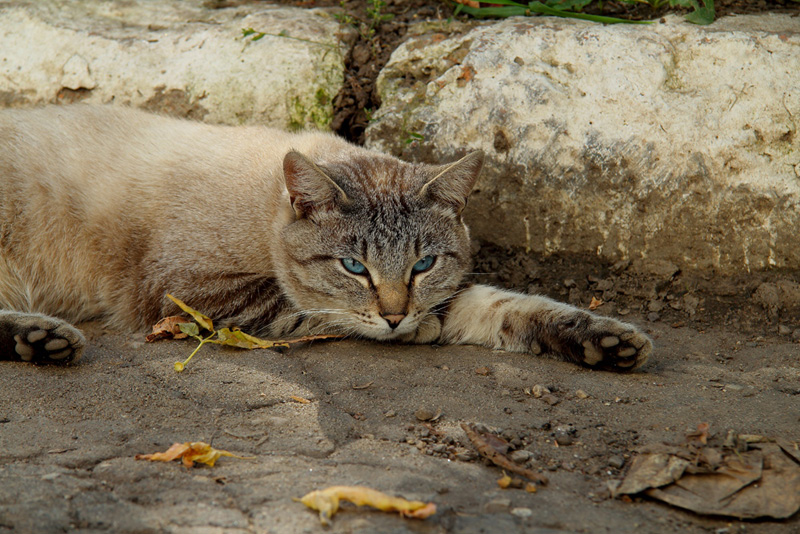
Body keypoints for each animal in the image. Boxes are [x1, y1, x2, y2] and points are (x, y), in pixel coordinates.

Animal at [0, 104, 648, 372]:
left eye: (423, 264)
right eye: (354, 268)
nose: (395, 315)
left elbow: (505, 307)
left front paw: (602, 342)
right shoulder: (189, 294)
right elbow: (307, 308)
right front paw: (417, 329)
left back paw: (38, 340)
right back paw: (44, 339)